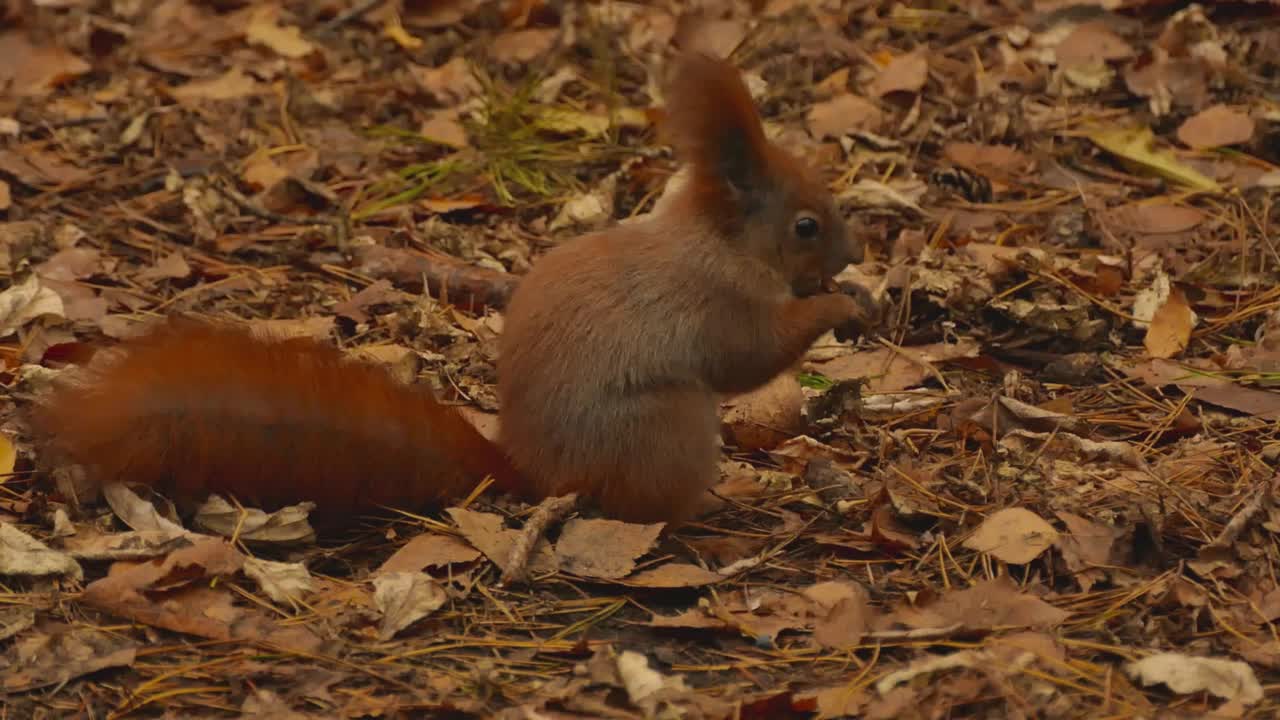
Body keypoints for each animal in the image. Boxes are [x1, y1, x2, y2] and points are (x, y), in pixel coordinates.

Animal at [27, 49, 870, 520]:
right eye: (805, 225)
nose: (852, 251)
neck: (715, 239)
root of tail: (534, 473)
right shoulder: (717, 301)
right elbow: (752, 354)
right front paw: (839, 303)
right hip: (668, 428)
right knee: (652, 508)